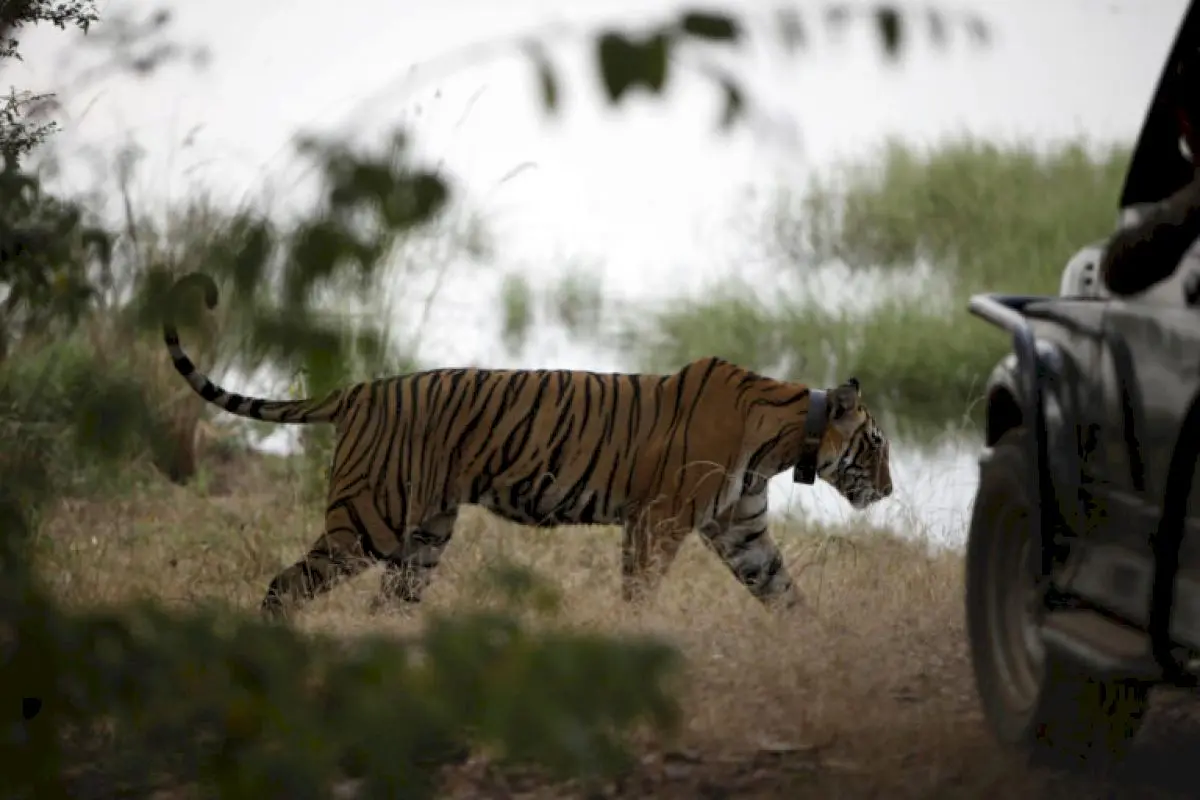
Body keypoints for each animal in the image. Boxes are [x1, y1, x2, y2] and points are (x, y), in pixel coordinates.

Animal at [162, 272, 893, 621]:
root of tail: (362, 389)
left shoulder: (742, 531)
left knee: (387, 603)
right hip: (368, 522)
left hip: (425, 535)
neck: (786, 439)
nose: (889, 490)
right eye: (878, 443)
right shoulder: (658, 522)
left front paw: (820, 649)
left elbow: (786, 595)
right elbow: (640, 592)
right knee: (284, 586)